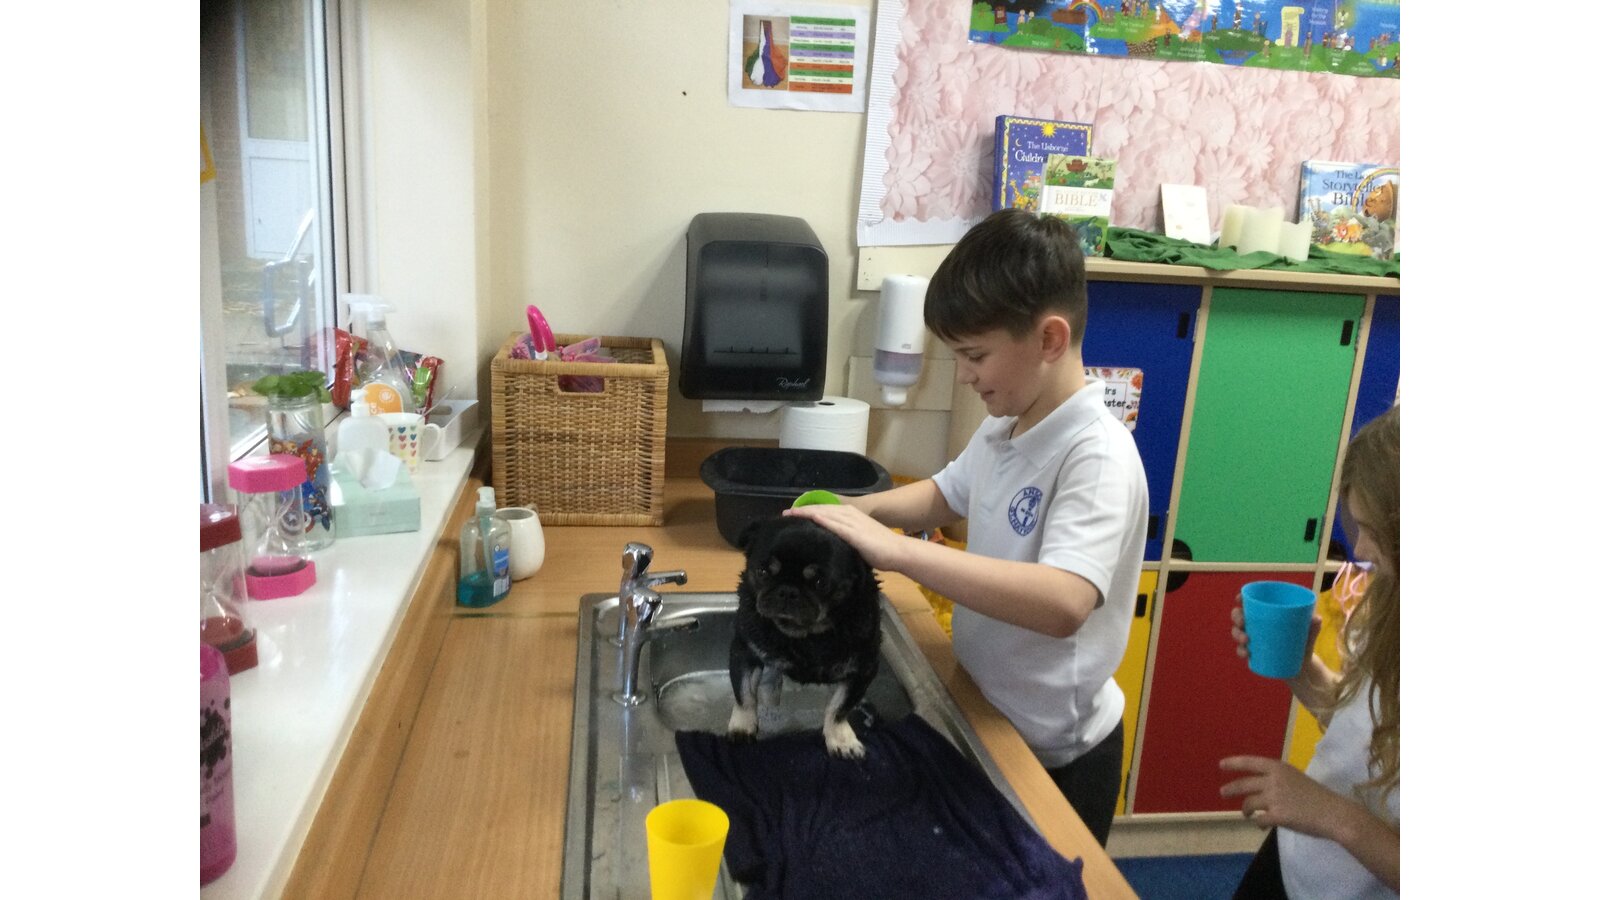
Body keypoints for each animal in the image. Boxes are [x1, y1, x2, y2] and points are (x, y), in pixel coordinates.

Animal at [726, 516, 882, 758]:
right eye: (762, 572)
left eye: (820, 583)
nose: (788, 591)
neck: (805, 636)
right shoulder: (744, 652)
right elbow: (744, 694)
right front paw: (743, 726)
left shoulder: (864, 670)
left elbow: (839, 708)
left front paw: (840, 738)